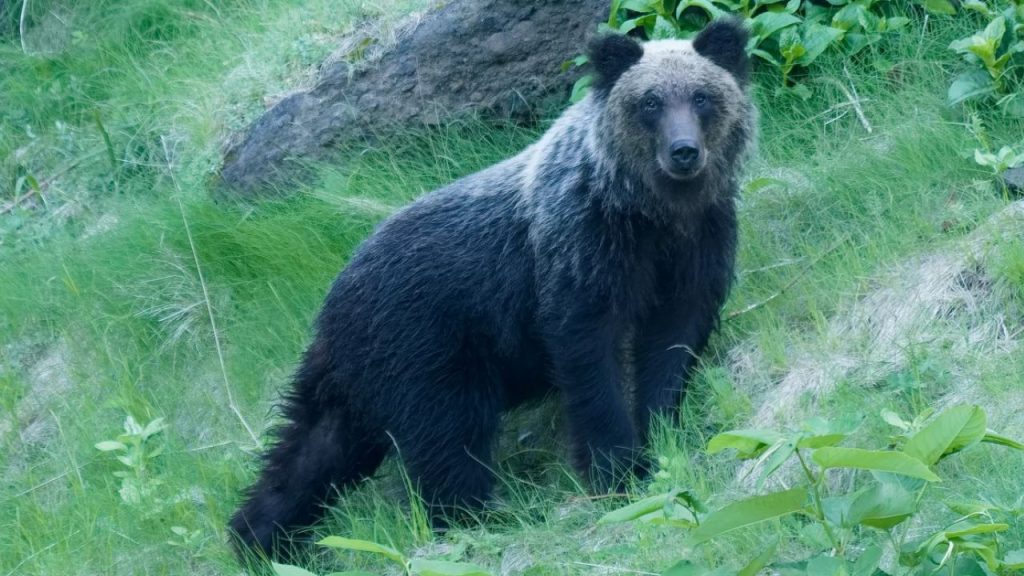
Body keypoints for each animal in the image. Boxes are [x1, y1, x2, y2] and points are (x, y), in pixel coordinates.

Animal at [230, 19, 755, 559]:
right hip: (426, 349)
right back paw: (475, 517)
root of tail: (332, 299)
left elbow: (672, 345)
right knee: (447, 438)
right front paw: (617, 469)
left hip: (359, 376)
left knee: (312, 448)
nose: (684, 152)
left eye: (702, 96)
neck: (649, 213)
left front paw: (661, 436)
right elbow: (591, 360)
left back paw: (260, 538)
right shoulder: (581, 252)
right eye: (649, 102)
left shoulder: (696, 247)